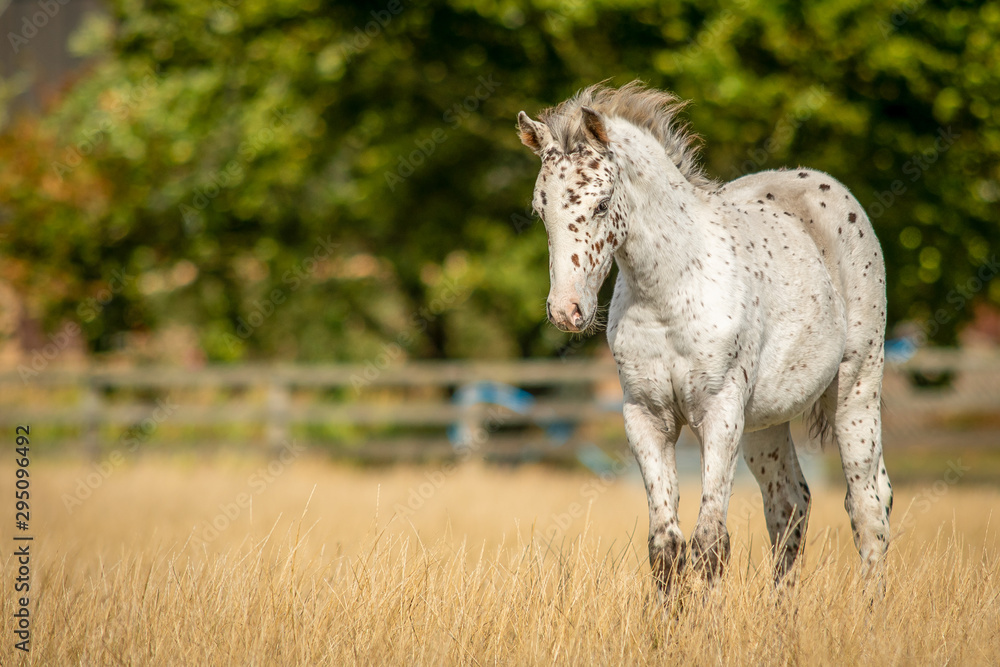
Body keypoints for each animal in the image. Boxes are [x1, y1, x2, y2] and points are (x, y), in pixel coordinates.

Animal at [517, 82, 891, 593]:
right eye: (541, 210)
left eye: (600, 204)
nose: (566, 311)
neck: (668, 293)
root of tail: (828, 186)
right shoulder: (646, 417)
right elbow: (666, 548)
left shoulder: (719, 412)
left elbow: (711, 544)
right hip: (764, 421)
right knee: (789, 503)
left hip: (856, 390)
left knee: (869, 505)